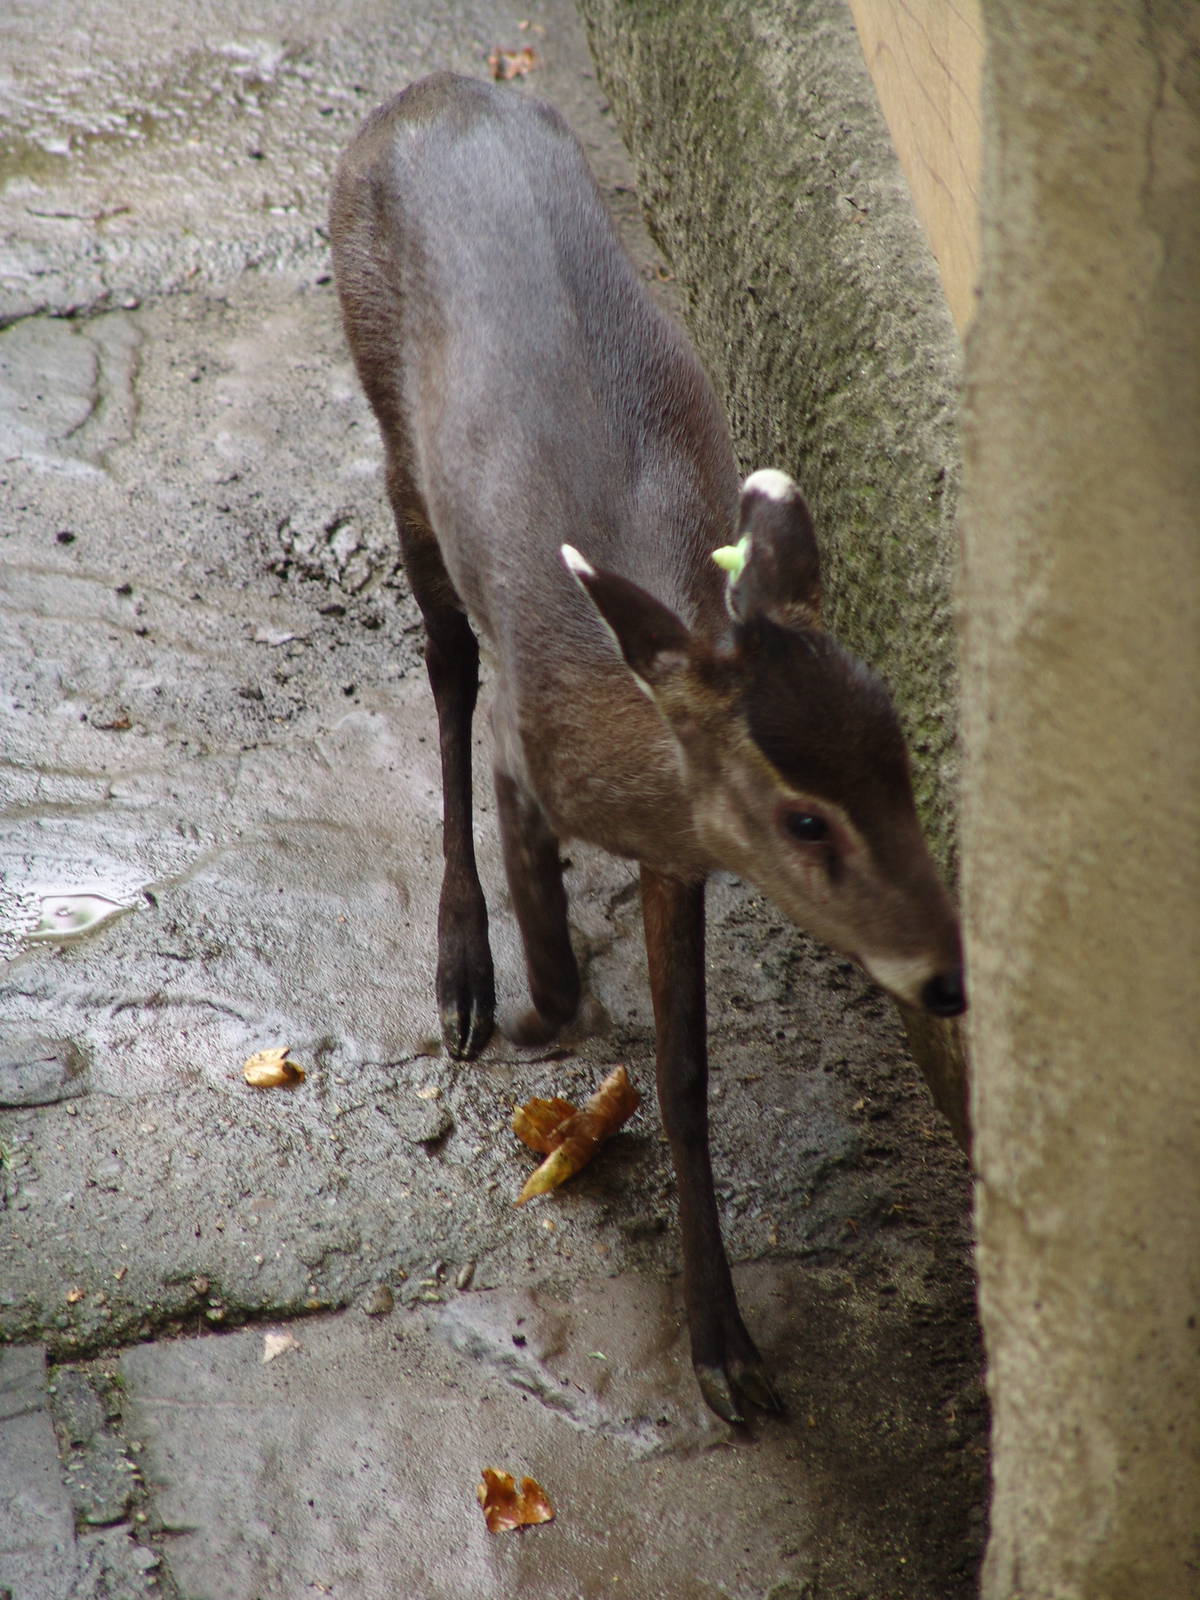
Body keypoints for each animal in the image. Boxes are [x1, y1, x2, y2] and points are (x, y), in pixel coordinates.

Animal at [329, 72, 966, 1424]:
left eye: (902, 764)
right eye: (802, 816)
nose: (948, 979)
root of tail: (426, 93)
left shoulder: (683, 857)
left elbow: (687, 1081)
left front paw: (725, 1344)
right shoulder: (532, 751)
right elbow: (562, 972)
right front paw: (533, 1014)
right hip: (389, 421)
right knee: (445, 669)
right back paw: (462, 971)